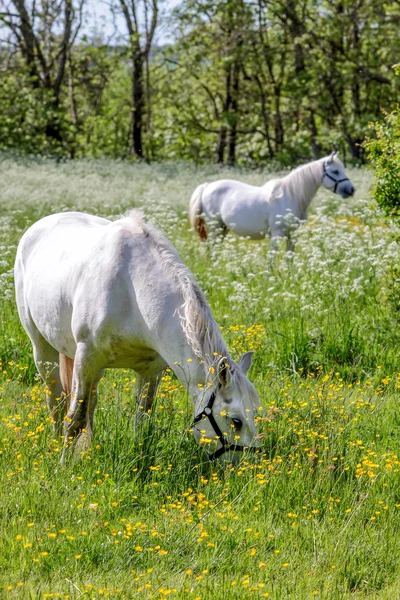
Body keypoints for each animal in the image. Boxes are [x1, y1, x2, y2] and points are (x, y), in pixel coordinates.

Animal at [14, 211, 260, 464]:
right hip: (44, 349)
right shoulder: (86, 358)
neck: (133, 293)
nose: (248, 466)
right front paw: (64, 465)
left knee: (91, 401)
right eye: (236, 421)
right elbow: (75, 418)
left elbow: (142, 418)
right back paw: (56, 444)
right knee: (55, 400)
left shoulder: (150, 370)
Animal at [189, 152, 354, 251]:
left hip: (223, 229)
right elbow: (272, 258)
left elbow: (289, 258)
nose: (351, 190)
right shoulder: (277, 232)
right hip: (214, 227)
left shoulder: (292, 233)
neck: (291, 195)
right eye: (335, 171)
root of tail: (207, 186)